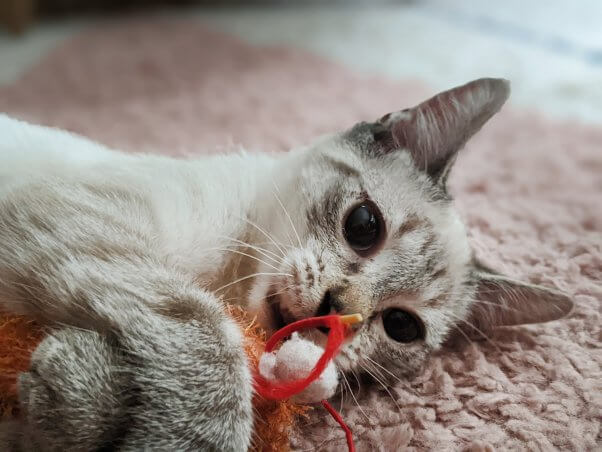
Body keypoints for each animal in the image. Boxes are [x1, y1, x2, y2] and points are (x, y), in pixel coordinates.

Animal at [0, 77, 572, 448]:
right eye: (364, 225)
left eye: (401, 326)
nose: (335, 307)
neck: (227, 282)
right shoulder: (89, 225)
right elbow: (211, 341)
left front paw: (67, 398)